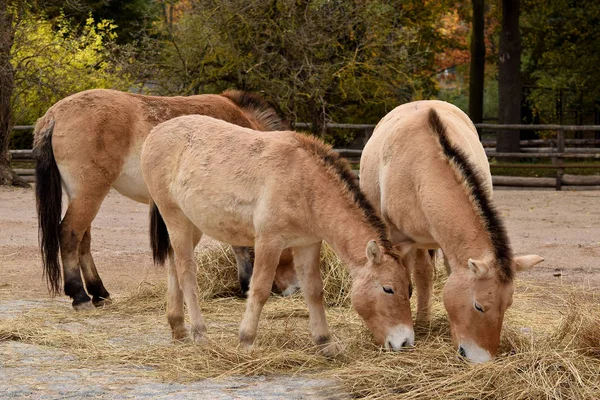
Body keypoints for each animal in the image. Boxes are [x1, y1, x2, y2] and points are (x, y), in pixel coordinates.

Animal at [31, 90, 298, 310]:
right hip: (90, 193)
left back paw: (99, 292)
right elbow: (237, 245)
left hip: (82, 195)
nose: (295, 289)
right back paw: (80, 296)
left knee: (83, 240)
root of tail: (54, 115)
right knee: (69, 234)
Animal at [140, 114, 412, 354]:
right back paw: (199, 332)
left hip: (191, 225)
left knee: (173, 264)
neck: (306, 184)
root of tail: (156, 133)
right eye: (388, 289)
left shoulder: (308, 244)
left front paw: (325, 343)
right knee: (186, 272)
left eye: (409, 289)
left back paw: (179, 329)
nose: (405, 342)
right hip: (176, 219)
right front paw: (246, 340)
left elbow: (314, 291)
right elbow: (260, 289)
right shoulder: (269, 242)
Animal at [358, 101, 548, 362]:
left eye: (507, 305)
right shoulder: (399, 242)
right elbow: (401, 282)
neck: (422, 167)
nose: (482, 359)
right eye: (479, 306)